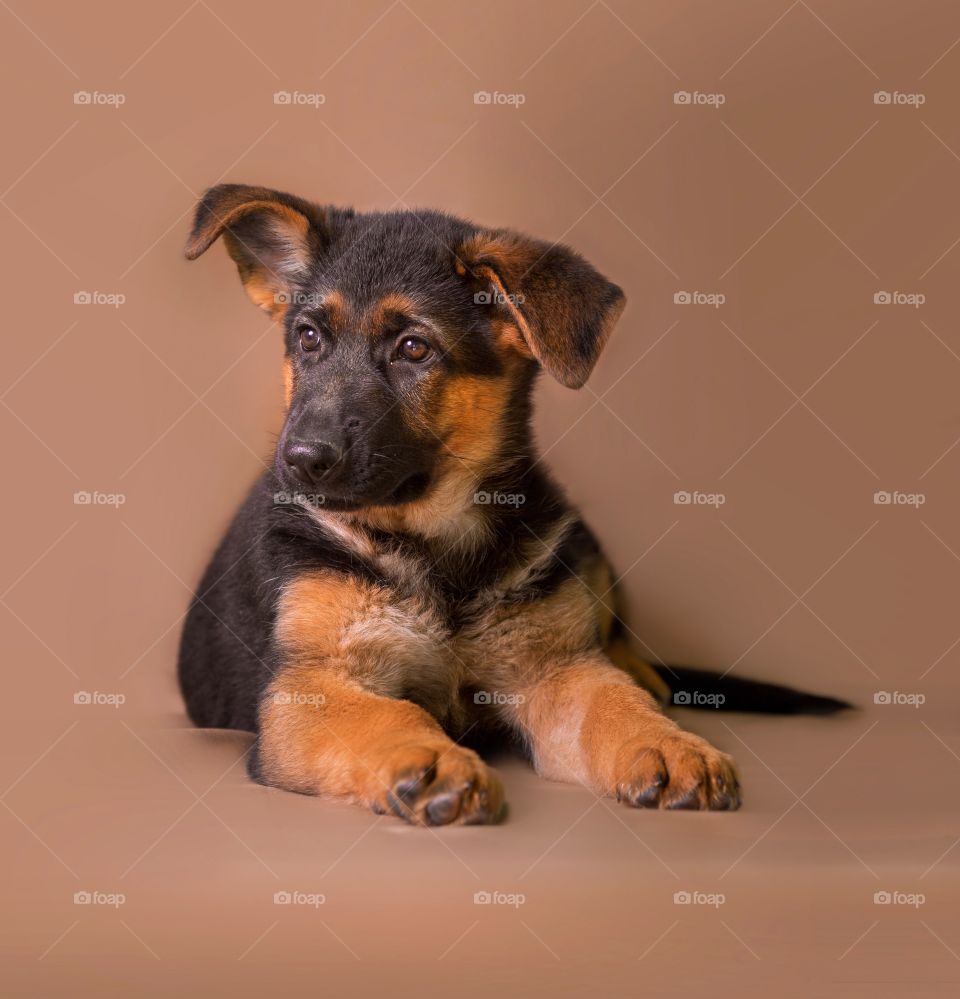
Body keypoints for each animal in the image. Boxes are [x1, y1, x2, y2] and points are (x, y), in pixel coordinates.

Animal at [176, 186, 844, 828]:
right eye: (308, 338)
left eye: (414, 349)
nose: (301, 459)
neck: (436, 541)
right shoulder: (310, 689)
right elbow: (388, 716)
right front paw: (431, 759)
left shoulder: (555, 670)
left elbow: (611, 700)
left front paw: (667, 743)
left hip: (581, 546)